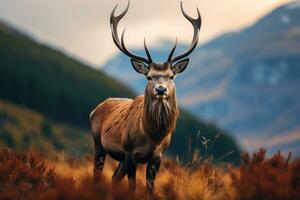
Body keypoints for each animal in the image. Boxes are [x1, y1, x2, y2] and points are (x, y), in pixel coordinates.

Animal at [89, 0, 202, 198]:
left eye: (171, 76)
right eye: (149, 76)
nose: (161, 89)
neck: (152, 136)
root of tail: (95, 109)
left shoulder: (157, 157)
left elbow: (150, 189)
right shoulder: (129, 152)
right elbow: (132, 188)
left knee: (113, 179)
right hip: (99, 144)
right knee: (97, 176)